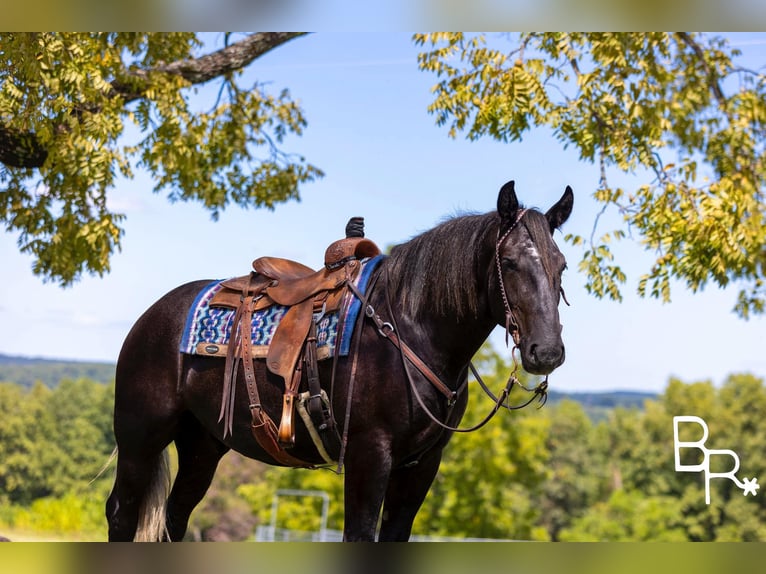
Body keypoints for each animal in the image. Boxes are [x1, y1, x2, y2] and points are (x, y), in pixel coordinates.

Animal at [109, 181, 576, 544]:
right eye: (509, 262)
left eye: (562, 265)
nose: (547, 352)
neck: (411, 330)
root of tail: (154, 314)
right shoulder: (369, 455)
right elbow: (359, 535)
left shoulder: (422, 465)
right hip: (139, 439)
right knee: (121, 512)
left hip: (202, 445)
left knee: (174, 518)